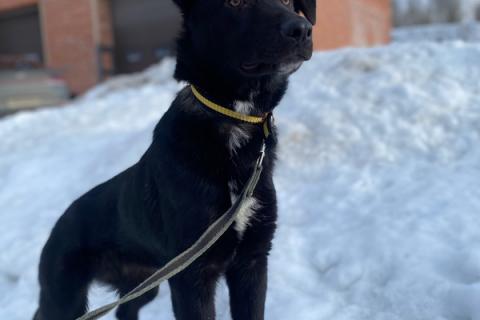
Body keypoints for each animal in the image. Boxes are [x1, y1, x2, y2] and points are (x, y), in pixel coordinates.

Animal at [33, 1, 316, 318]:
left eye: (289, 3)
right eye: (235, 3)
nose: (301, 30)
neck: (233, 120)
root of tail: (57, 227)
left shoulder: (252, 262)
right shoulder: (192, 276)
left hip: (144, 286)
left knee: (124, 311)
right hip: (64, 301)